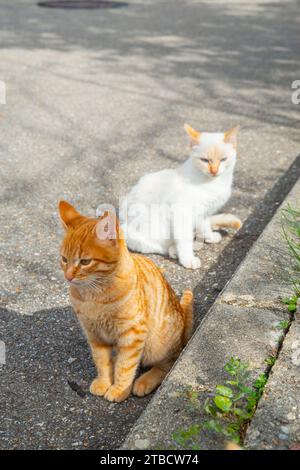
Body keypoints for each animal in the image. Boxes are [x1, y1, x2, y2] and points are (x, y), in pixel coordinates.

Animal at [59, 200, 192, 402]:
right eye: (64, 259)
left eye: (85, 262)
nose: (68, 277)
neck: (93, 296)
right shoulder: (94, 334)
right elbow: (102, 362)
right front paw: (104, 382)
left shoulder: (132, 335)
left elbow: (125, 366)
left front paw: (119, 389)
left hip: (159, 344)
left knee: (169, 361)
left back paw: (145, 381)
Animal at [118, 124, 243, 272]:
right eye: (204, 160)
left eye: (223, 159)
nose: (214, 171)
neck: (212, 183)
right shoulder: (181, 212)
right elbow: (184, 240)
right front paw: (187, 259)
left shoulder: (203, 212)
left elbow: (205, 226)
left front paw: (210, 236)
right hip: (132, 231)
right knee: (160, 246)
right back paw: (174, 250)